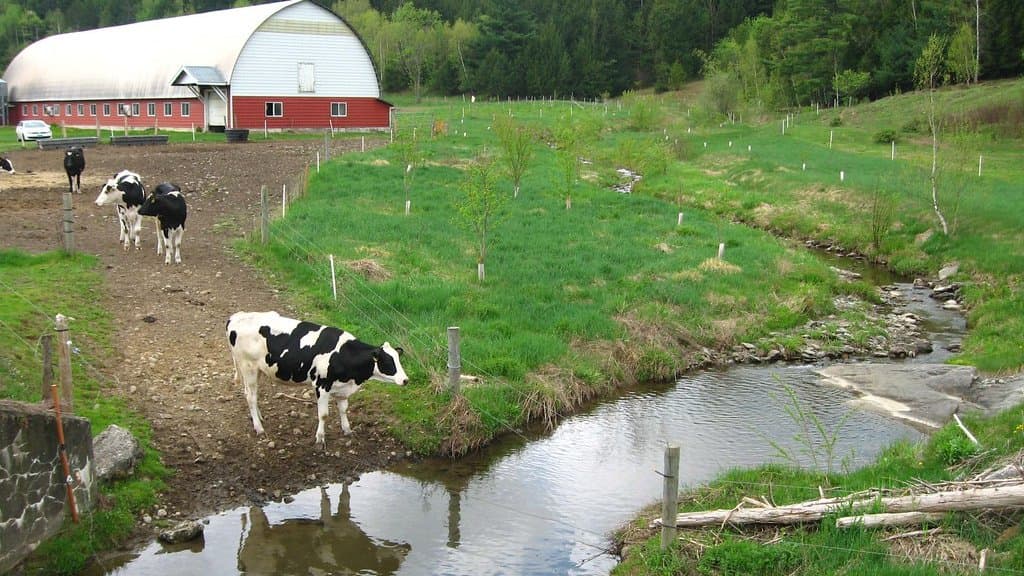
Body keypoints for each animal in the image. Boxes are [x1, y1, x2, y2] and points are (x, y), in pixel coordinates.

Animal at [225, 311, 409, 448]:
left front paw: (347, 430)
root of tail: (235, 317)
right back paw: (259, 427)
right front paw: (320, 438)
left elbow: (343, 409)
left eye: (398, 359)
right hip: (248, 366)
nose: (405, 380)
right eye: (388, 362)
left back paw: (259, 417)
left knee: (252, 394)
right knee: (250, 397)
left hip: (258, 370)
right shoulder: (321, 385)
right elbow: (324, 415)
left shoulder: (342, 388)